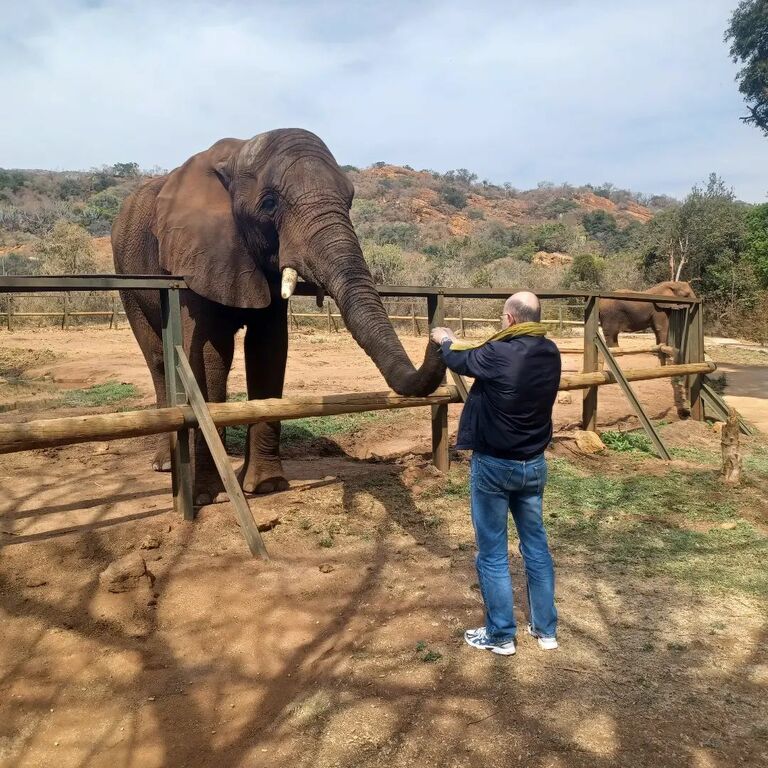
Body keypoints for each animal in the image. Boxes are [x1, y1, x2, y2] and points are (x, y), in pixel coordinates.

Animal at [112, 129, 445, 504]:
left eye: (349, 201)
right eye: (269, 204)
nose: (438, 338)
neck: (237, 154)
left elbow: (268, 348)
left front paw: (266, 487)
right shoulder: (194, 254)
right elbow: (211, 353)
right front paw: (208, 496)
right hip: (126, 275)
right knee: (157, 359)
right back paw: (165, 465)